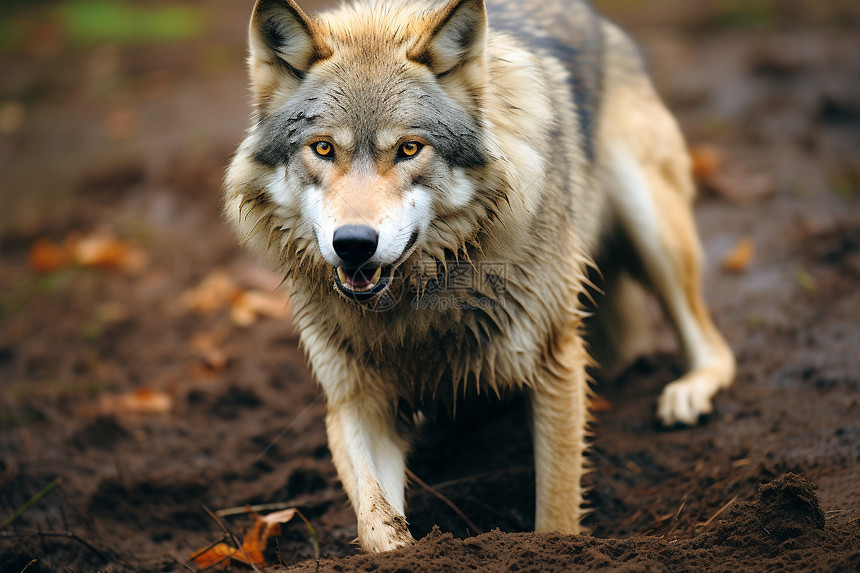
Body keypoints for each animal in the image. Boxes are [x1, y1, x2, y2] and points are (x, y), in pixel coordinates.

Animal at [222, 0, 732, 552]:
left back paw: (688, 393)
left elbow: (555, 515)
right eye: (322, 149)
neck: (418, 306)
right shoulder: (352, 401)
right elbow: (376, 524)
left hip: (652, 226)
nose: (353, 243)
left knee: (713, 345)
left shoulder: (556, 363)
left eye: (408, 149)